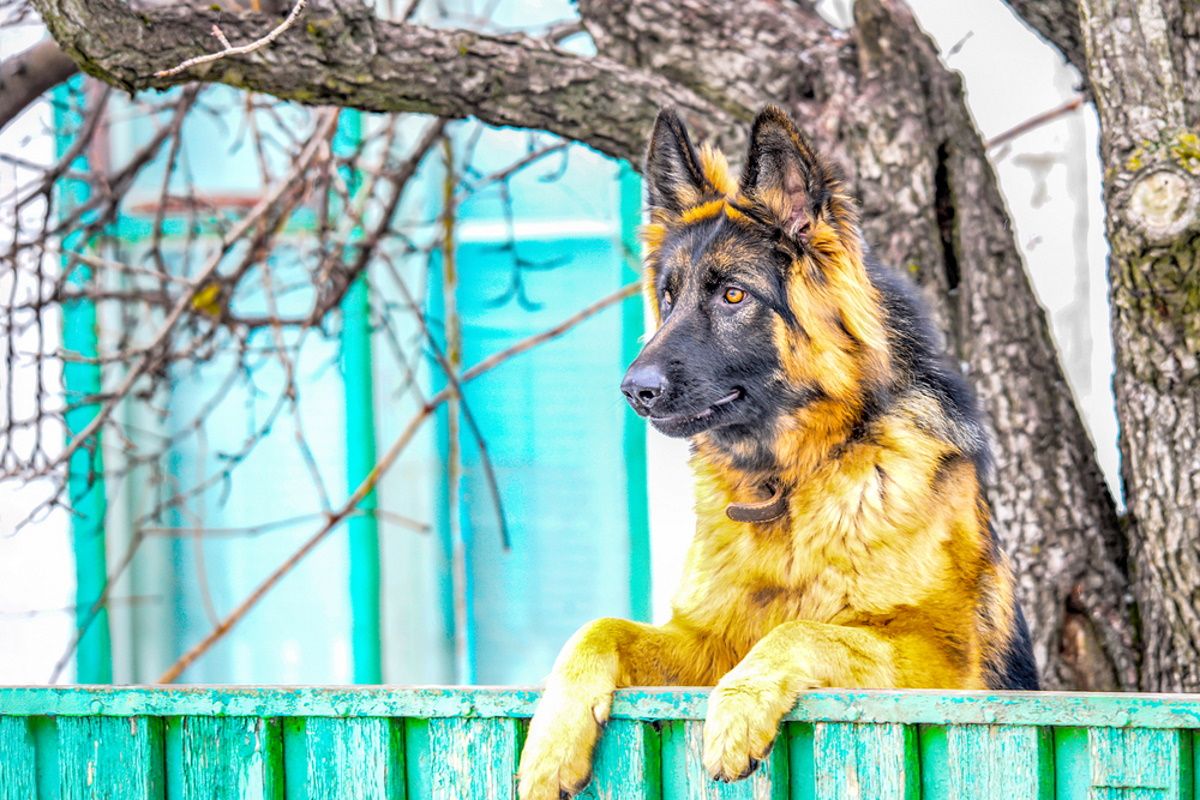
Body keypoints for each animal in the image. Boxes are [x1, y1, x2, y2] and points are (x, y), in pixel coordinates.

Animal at [511, 106, 1036, 800]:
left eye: (733, 295)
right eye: (669, 296)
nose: (634, 390)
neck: (786, 486)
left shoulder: (945, 665)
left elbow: (803, 628)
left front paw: (736, 712)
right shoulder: (705, 638)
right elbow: (599, 628)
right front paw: (550, 742)